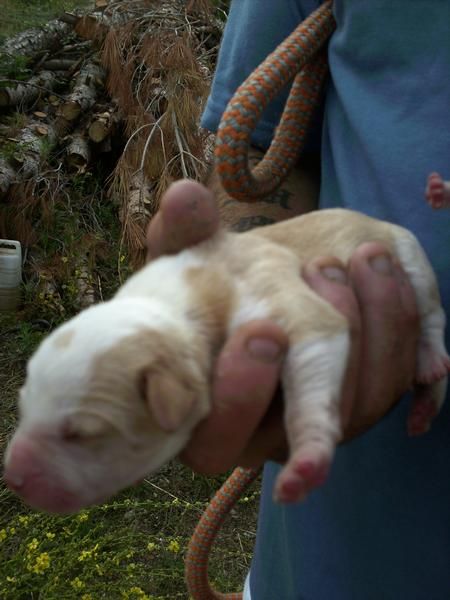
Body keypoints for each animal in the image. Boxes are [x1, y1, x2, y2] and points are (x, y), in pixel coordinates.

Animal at [4, 207, 450, 510]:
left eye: (80, 434)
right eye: (24, 405)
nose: (12, 478)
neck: (172, 308)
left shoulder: (282, 301)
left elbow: (316, 339)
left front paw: (306, 461)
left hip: (409, 258)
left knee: (431, 316)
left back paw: (430, 369)